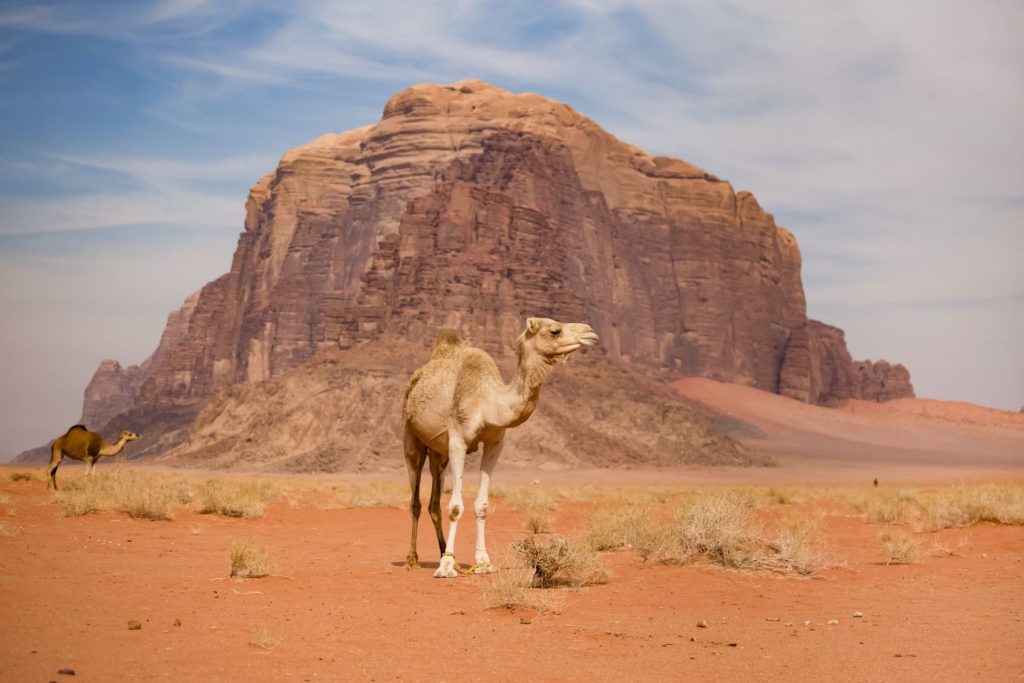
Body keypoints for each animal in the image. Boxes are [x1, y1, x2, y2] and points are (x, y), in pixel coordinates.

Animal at [397, 317, 593, 581]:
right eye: (555, 330)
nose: (590, 332)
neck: (487, 401)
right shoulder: (457, 440)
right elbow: (456, 507)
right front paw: (447, 567)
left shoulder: (494, 443)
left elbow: (481, 505)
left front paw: (483, 563)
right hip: (411, 437)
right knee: (415, 498)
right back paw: (413, 559)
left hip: (439, 453)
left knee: (434, 502)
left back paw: (441, 551)